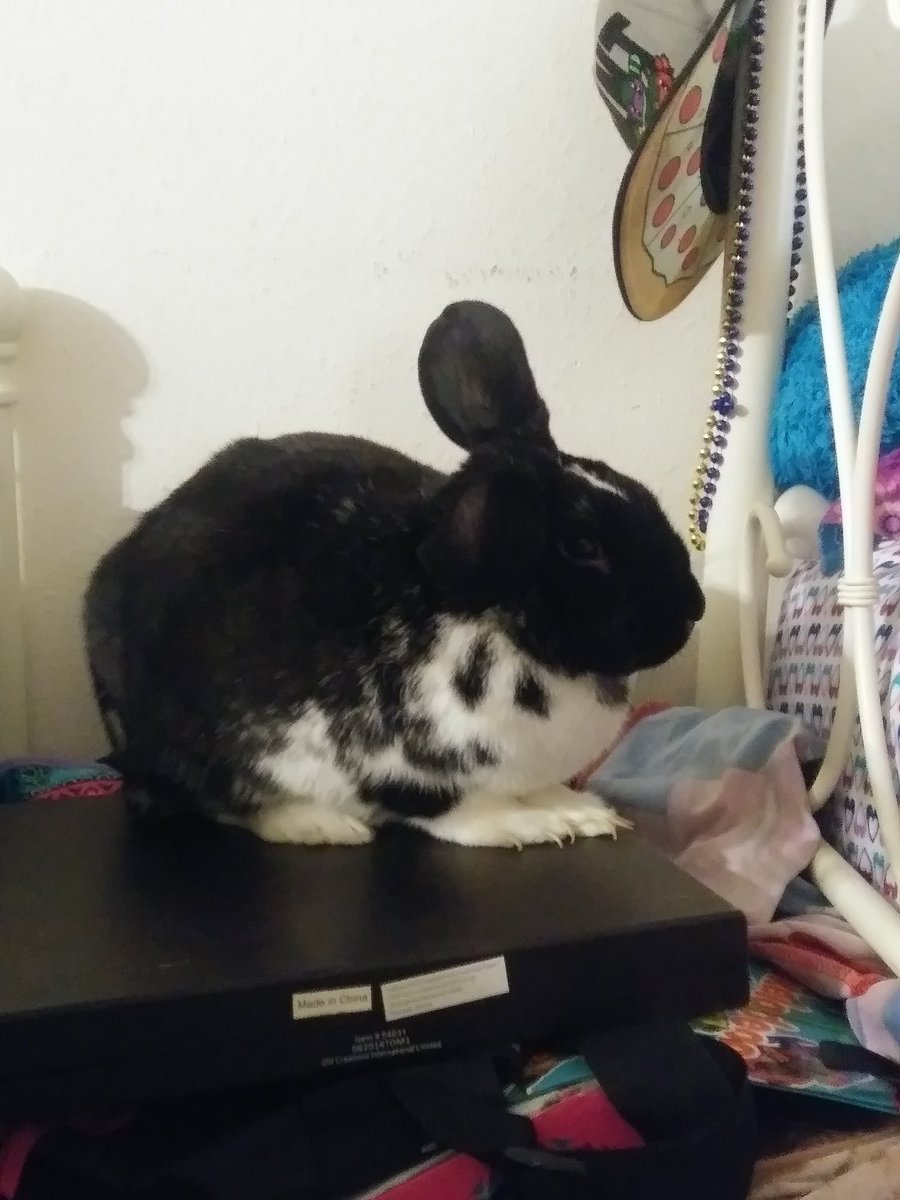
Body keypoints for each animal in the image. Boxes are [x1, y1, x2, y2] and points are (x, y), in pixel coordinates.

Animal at [83, 300, 704, 848]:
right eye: (582, 546)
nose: (695, 606)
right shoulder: (398, 768)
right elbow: (459, 810)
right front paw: (528, 827)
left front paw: (582, 811)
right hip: (188, 745)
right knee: (217, 800)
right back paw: (320, 826)